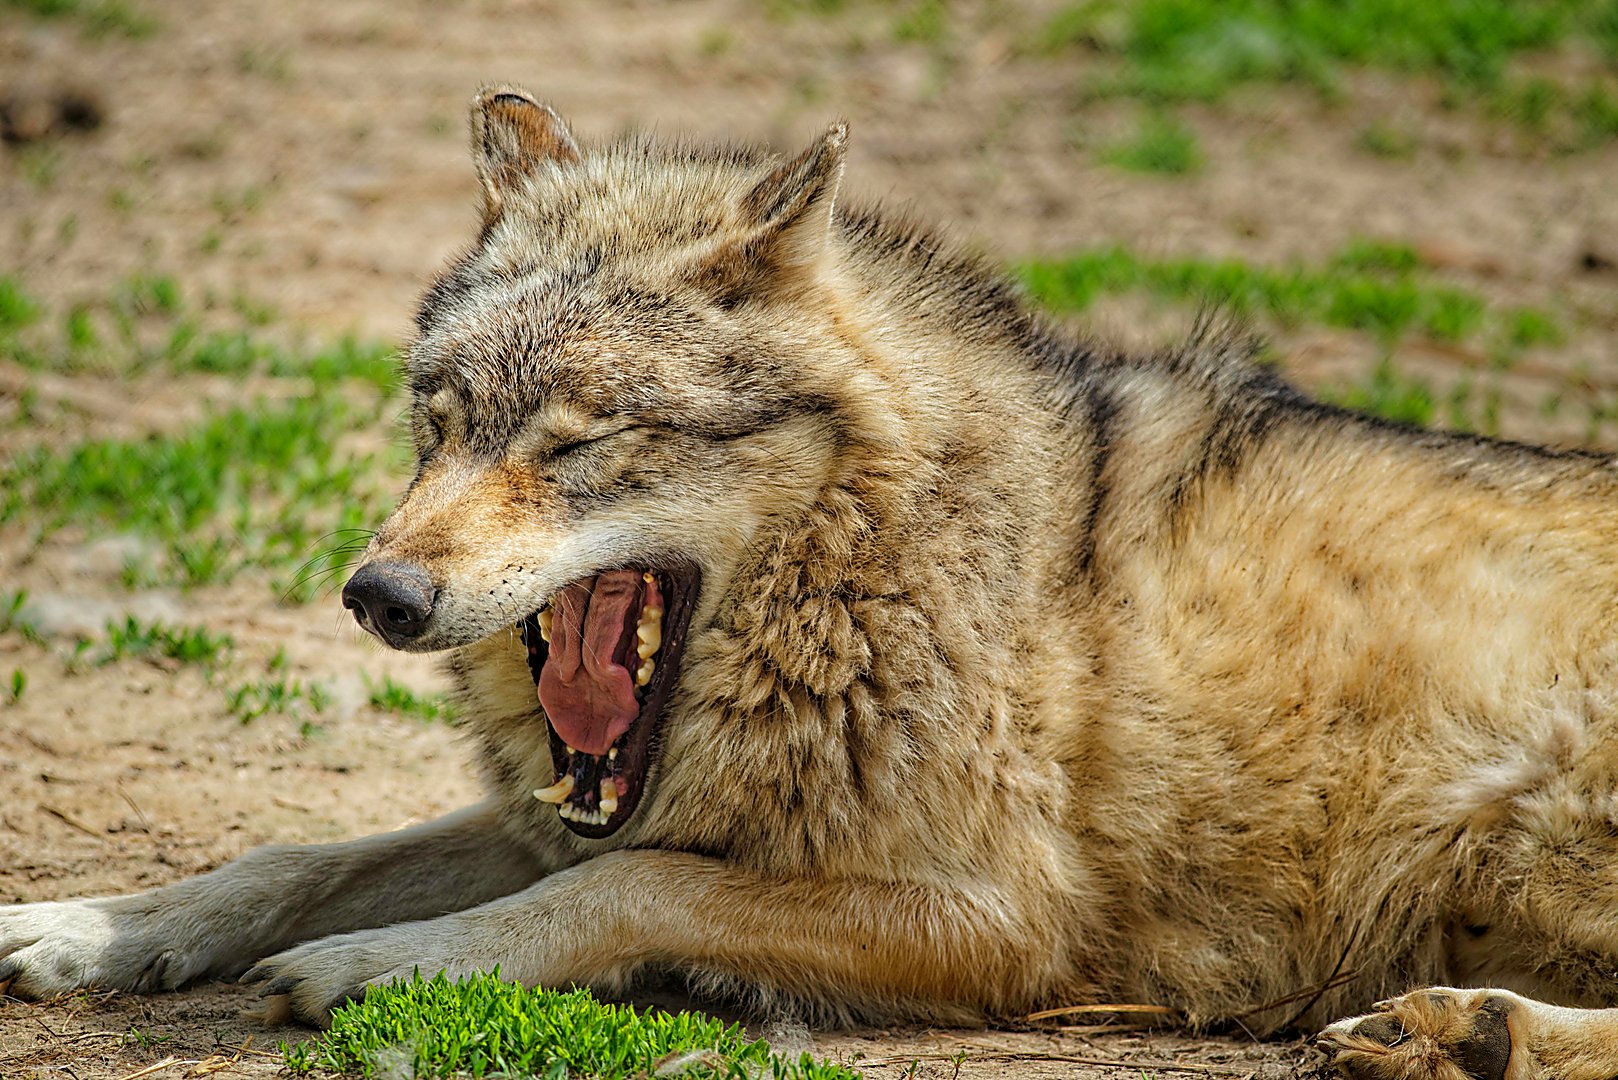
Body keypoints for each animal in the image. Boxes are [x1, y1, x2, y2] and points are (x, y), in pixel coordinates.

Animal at [0, 84, 1618, 1080]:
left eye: (580, 442)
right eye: (441, 425)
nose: (380, 597)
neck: (882, 580)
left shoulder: (1002, 921)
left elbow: (624, 887)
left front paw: (391, 967)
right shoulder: (562, 820)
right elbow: (295, 857)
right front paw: (95, 929)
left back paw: (1477, 1030)